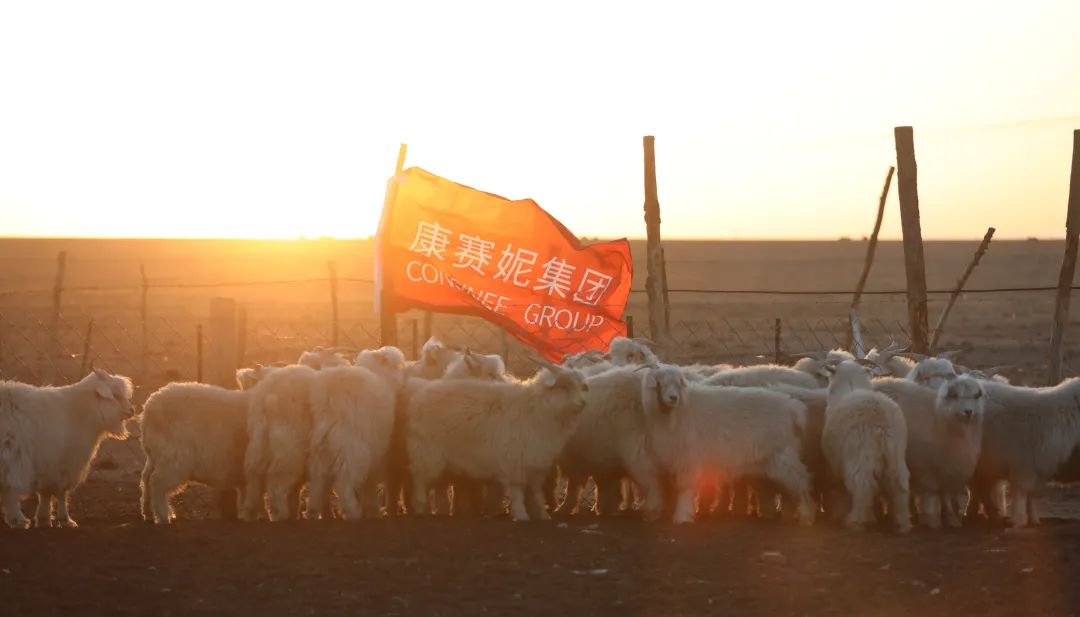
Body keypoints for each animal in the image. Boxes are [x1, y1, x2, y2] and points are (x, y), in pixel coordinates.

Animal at [1, 369, 135, 529]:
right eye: (115, 394)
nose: (132, 410)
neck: (80, 411)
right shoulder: (63, 463)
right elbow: (61, 492)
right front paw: (64, 519)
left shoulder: (48, 466)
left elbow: (46, 492)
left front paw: (44, 519)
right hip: (13, 455)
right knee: (10, 489)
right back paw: (18, 520)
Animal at [138, 384, 247, 522]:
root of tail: (149, 408)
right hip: (174, 459)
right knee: (157, 482)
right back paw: (164, 517)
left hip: (156, 457)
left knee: (146, 477)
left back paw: (148, 512)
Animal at [406, 356, 591, 520]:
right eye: (563, 387)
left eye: (581, 387)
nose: (582, 403)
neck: (538, 409)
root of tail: (419, 393)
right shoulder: (516, 461)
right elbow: (518, 490)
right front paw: (521, 514)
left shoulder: (538, 463)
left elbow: (536, 492)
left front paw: (542, 515)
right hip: (426, 454)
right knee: (419, 480)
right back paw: (421, 507)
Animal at [639, 365, 812, 522]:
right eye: (661, 383)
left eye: (678, 383)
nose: (673, 398)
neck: (680, 412)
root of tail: (793, 407)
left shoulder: (688, 458)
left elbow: (685, 487)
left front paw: (682, 516)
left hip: (783, 454)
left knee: (802, 481)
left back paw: (807, 515)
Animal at [820, 363, 907, 531]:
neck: (850, 386)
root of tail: (881, 420)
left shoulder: (833, 464)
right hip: (897, 453)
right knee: (899, 482)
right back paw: (901, 522)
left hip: (860, 454)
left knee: (863, 484)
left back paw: (856, 521)